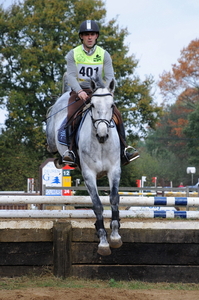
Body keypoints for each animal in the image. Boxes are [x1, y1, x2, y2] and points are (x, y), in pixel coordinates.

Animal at [45, 78, 122, 255]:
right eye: (92, 105)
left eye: (112, 105)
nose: (102, 135)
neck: (100, 144)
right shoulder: (88, 174)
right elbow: (97, 205)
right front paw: (103, 242)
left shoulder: (114, 170)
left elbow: (114, 198)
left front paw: (115, 236)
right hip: (52, 140)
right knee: (52, 148)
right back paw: (62, 159)